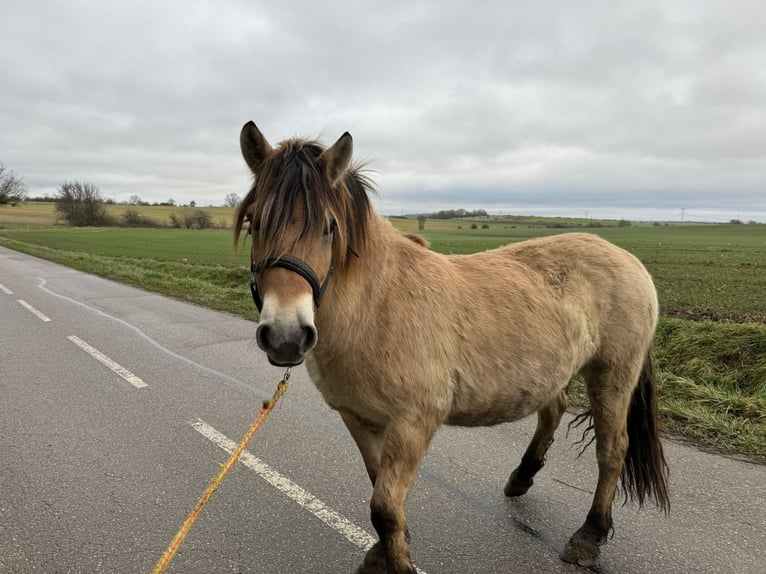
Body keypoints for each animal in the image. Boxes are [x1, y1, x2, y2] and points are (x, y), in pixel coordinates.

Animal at [236, 119, 672, 572]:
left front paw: (397, 561)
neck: (377, 306)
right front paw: (383, 552)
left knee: (612, 449)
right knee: (553, 409)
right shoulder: (359, 420)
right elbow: (380, 492)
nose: (286, 334)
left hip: (613, 374)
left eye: (329, 227)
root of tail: (628, 259)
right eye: (253, 222)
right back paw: (522, 477)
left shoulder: (413, 423)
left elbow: (384, 507)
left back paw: (590, 534)